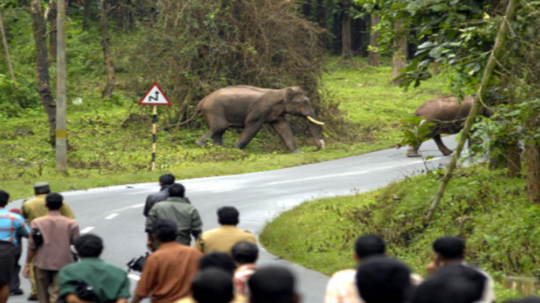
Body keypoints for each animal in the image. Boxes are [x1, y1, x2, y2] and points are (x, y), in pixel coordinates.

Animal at [173, 85, 324, 153]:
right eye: (304, 102)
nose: (318, 147)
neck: (281, 92)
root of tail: (200, 103)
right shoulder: (259, 111)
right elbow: (252, 127)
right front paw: (237, 149)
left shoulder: (277, 114)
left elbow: (283, 128)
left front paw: (298, 153)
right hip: (214, 111)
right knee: (219, 127)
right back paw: (202, 145)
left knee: (220, 130)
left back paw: (220, 147)